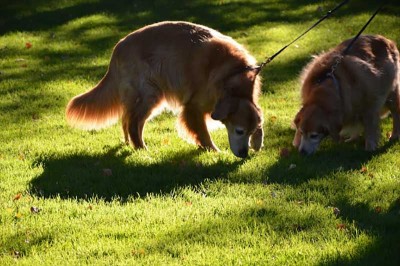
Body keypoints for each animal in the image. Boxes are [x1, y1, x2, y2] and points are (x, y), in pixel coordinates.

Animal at [67, 21, 264, 158]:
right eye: (239, 131)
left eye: (250, 131)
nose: (244, 154)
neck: (231, 77)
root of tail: (118, 47)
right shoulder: (193, 107)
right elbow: (203, 133)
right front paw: (214, 151)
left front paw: (257, 141)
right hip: (149, 94)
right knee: (133, 122)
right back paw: (142, 149)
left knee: (128, 119)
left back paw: (131, 144)